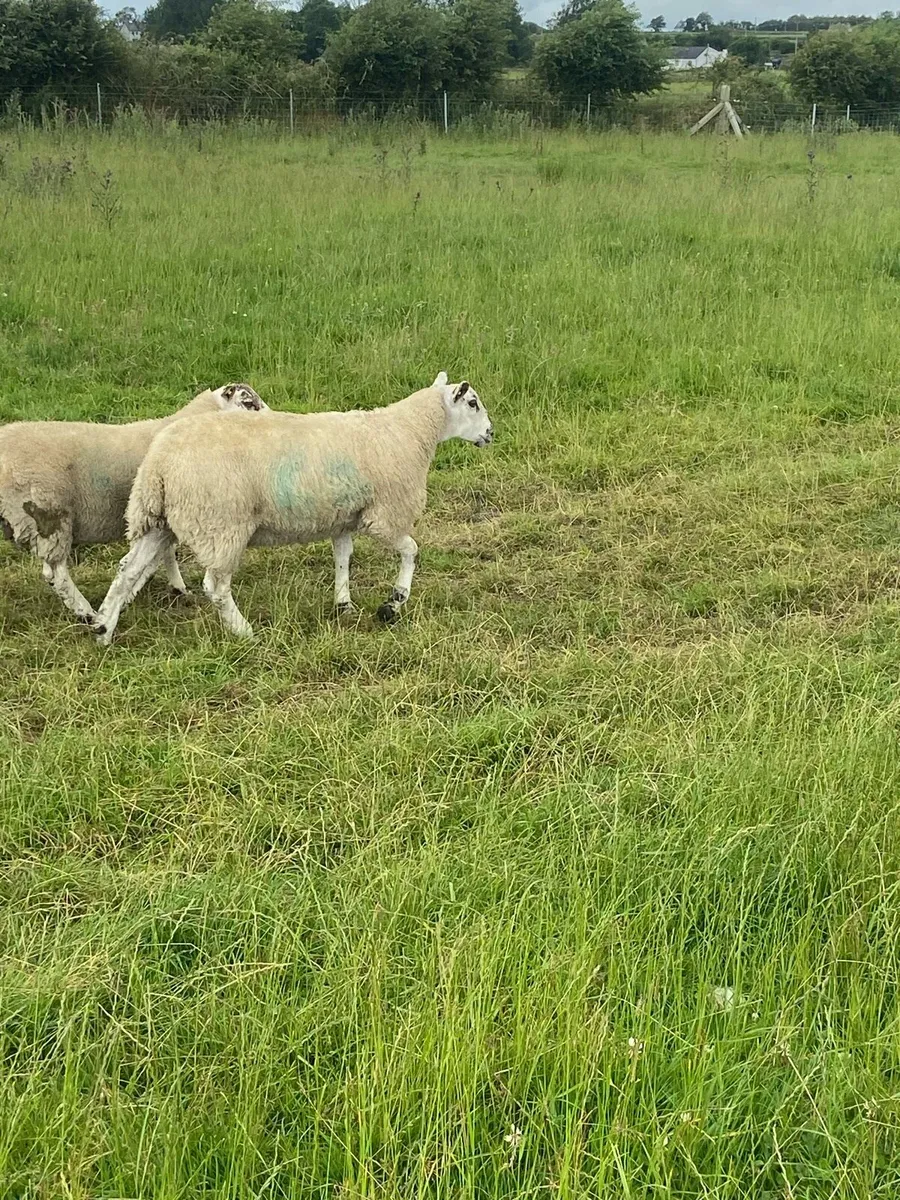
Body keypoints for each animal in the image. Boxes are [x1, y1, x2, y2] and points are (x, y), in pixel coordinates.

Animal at [0, 383, 267, 624]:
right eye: (249, 403)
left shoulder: (159, 513)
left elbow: (165, 554)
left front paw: (176, 588)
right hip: (49, 515)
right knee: (55, 573)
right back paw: (85, 611)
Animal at [93, 373, 493, 644]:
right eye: (472, 403)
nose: (491, 433)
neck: (410, 431)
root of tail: (158, 463)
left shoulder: (342, 516)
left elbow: (343, 558)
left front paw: (344, 605)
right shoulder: (384, 514)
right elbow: (411, 551)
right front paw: (392, 604)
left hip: (157, 520)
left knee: (127, 571)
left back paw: (103, 628)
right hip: (221, 523)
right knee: (216, 586)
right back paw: (245, 632)